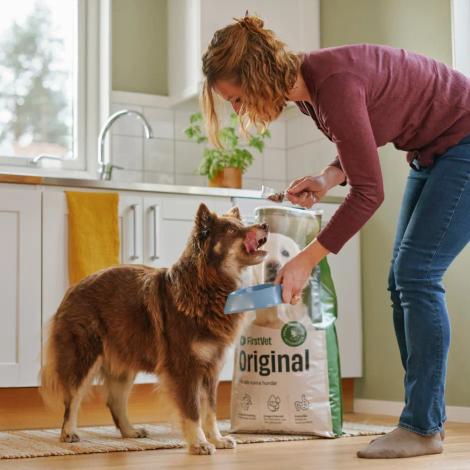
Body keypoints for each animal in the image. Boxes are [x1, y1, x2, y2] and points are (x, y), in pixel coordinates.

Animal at [40, 205, 268, 456]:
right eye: (231, 230)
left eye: (243, 224)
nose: (265, 225)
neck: (206, 286)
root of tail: (73, 288)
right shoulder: (185, 367)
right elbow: (193, 411)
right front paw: (199, 443)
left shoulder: (212, 368)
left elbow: (210, 410)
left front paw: (217, 439)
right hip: (84, 357)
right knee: (72, 398)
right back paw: (68, 432)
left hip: (124, 362)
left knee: (115, 402)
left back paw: (130, 431)